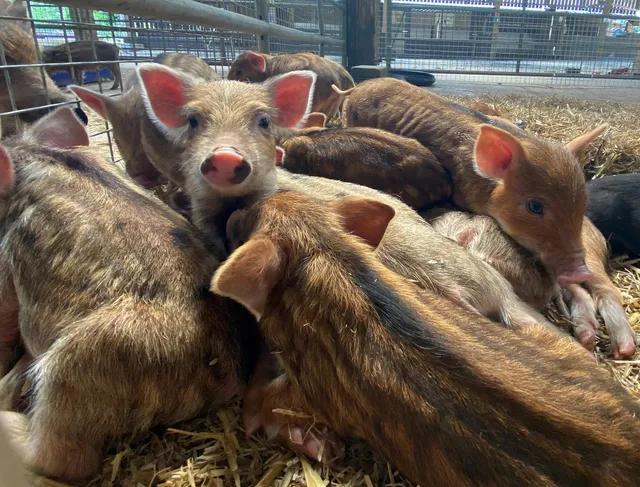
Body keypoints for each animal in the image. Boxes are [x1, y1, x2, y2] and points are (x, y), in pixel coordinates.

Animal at [212, 189, 640, 487]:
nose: (233, 211)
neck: (329, 258)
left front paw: (321, 448)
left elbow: (262, 406)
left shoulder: (302, 385)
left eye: (246, 226)